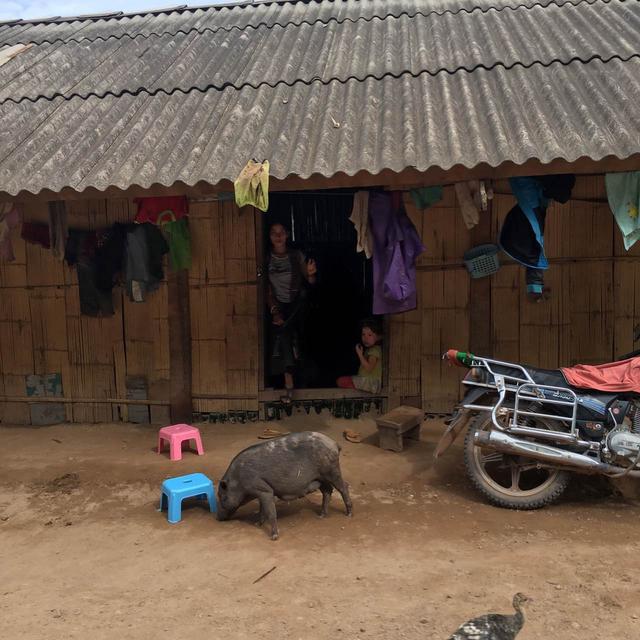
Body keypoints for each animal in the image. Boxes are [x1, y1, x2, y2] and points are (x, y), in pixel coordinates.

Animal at [218, 430, 352, 540]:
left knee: (343, 487)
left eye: (222, 497)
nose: (218, 518)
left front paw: (274, 537)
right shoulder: (261, 492)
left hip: (331, 471)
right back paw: (321, 516)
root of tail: (335, 444)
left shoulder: (264, 489)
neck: (238, 480)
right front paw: (257, 524)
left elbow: (271, 512)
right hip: (321, 478)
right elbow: (262, 510)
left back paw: (349, 514)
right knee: (328, 490)